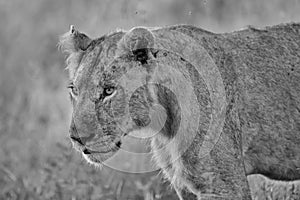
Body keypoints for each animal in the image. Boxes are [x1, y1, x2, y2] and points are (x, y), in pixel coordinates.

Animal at [59, 23, 300, 198]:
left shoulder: (225, 185)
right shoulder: (185, 186)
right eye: (74, 90)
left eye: (108, 91)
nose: (76, 138)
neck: (164, 123)